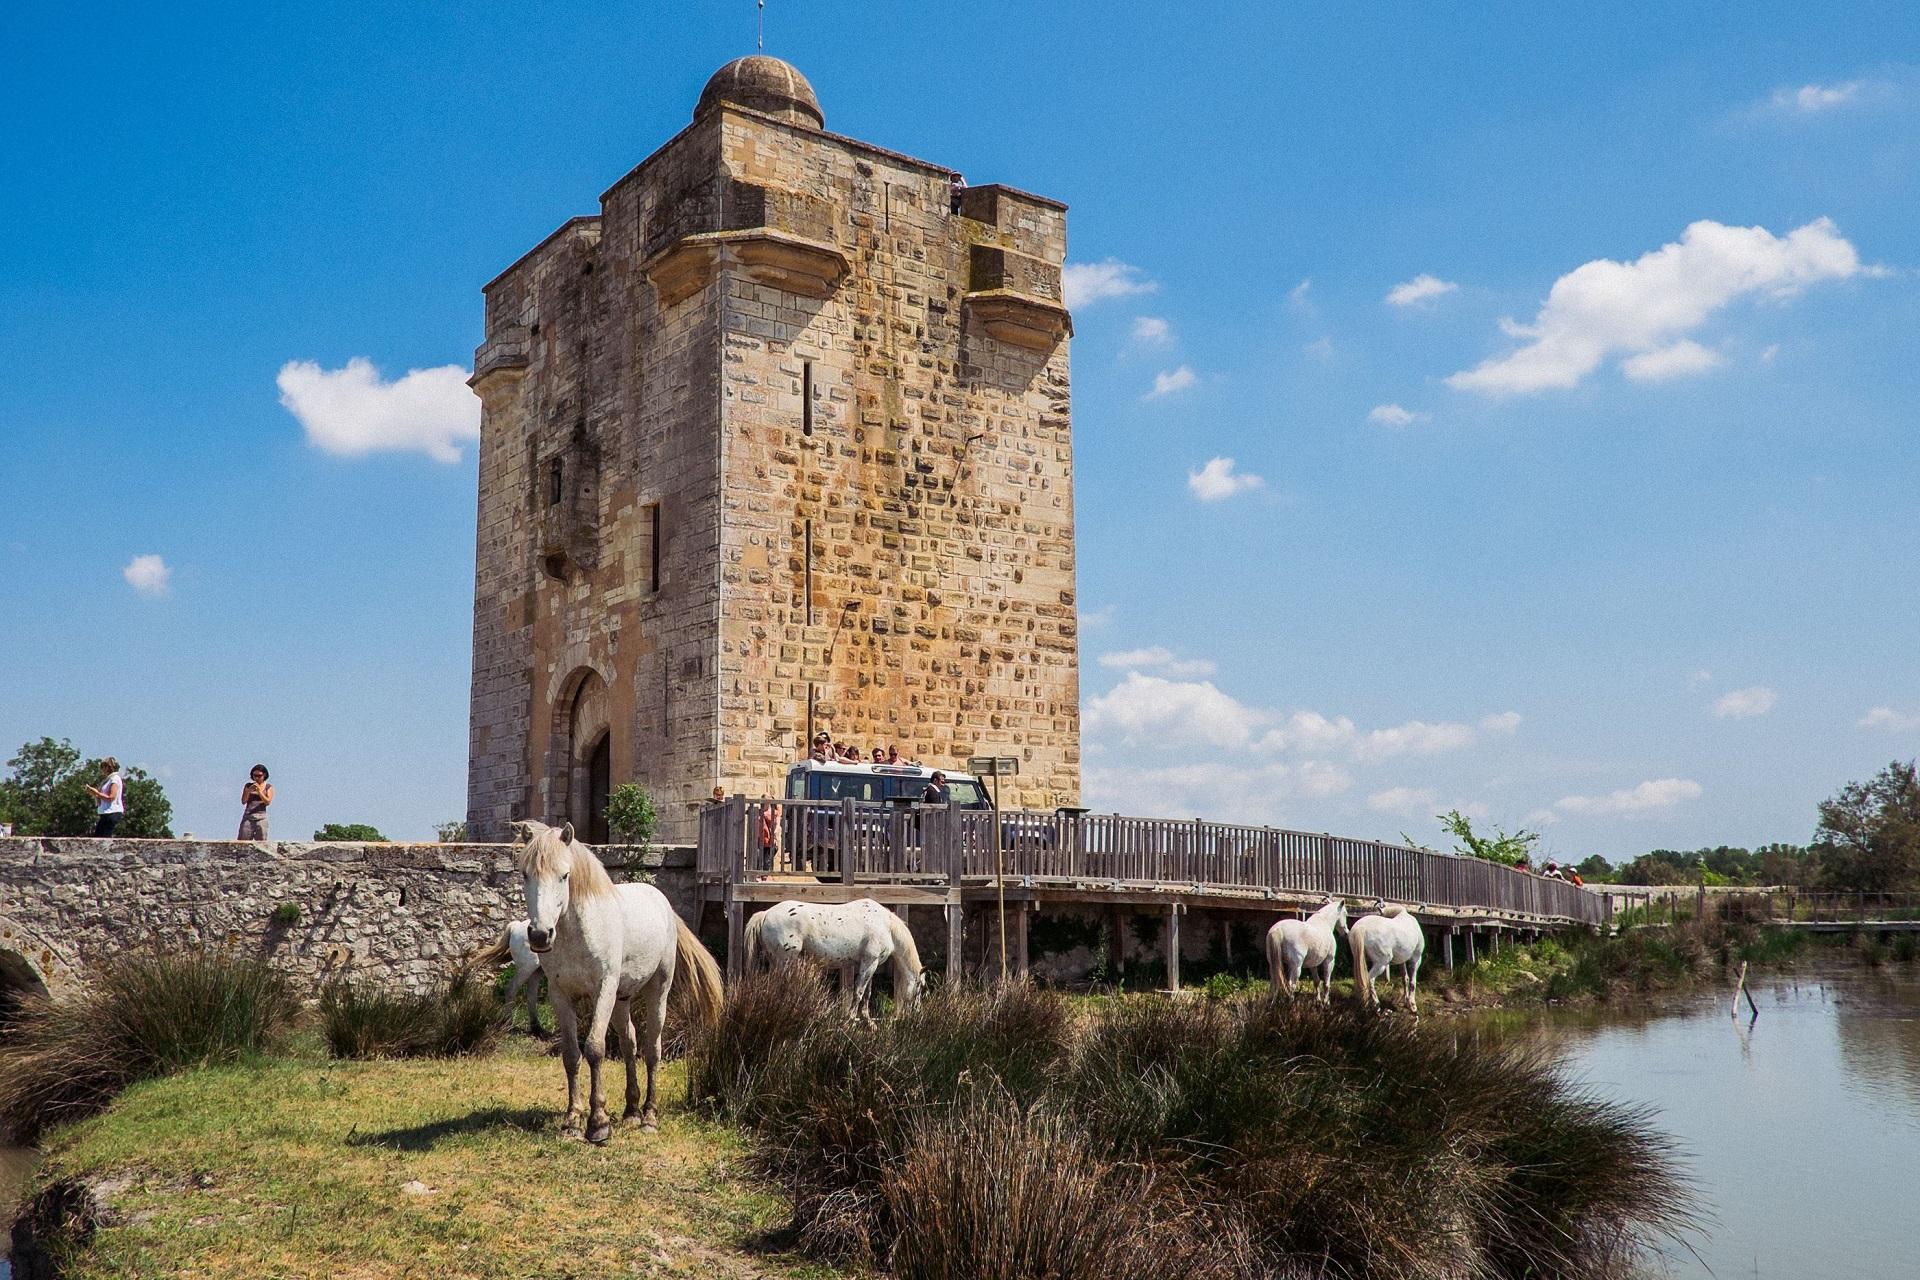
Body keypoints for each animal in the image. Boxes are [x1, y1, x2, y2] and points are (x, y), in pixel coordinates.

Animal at [514, 821, 721, 1143]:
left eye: (564, 875)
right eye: (525, 874)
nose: (539, 935)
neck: (580, 933)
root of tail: (661, 902)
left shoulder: (603, 991)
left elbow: (594, 1049)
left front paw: (598, 1123)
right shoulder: (562, 996)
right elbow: (571, 1054)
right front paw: (572, 1120)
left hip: (657, 991)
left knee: (652, 1049)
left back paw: (649, 1116)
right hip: (622, 999)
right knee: (629, 1043)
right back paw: (631, 1110)